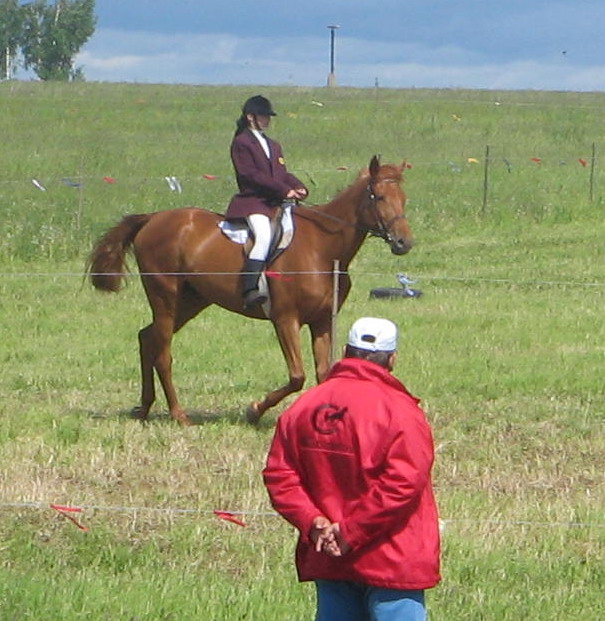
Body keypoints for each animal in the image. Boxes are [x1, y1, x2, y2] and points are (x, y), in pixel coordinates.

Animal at [88, 157, 410, 424]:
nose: (404, 243)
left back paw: (144, 408)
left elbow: (323, 373)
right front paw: (254, 410)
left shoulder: (320, 322)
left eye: (404, 199)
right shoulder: (285, 319)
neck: (322, 247)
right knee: (163, 352)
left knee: (148, 338)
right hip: (165, 295)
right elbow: (297, 376)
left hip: (192, 300)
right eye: (379, 197)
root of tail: (153, 218)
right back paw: (179, 414)